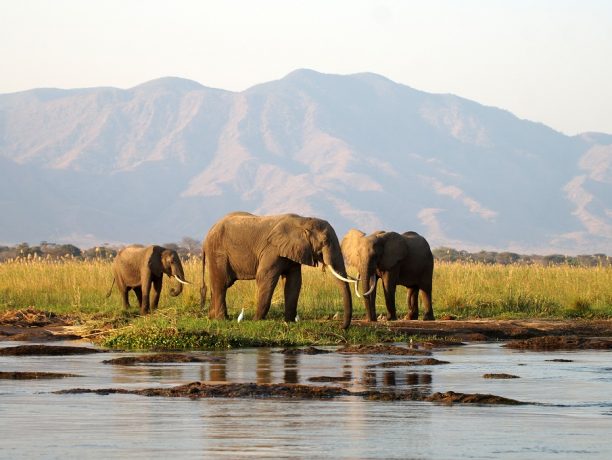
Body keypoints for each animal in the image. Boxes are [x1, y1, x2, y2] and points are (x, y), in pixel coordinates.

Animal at [201, 210, 356, 328]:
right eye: (325, 241)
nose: (342, 327)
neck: (303, 221)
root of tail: (208, 232)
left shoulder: (293, 252)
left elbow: (294, 282)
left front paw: (289, 322)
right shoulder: (272, 250)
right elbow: (265, 277)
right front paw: (256, 321)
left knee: (218, 285)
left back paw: (212, 317)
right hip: (218, 252)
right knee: (222, 283)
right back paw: (222, 319)